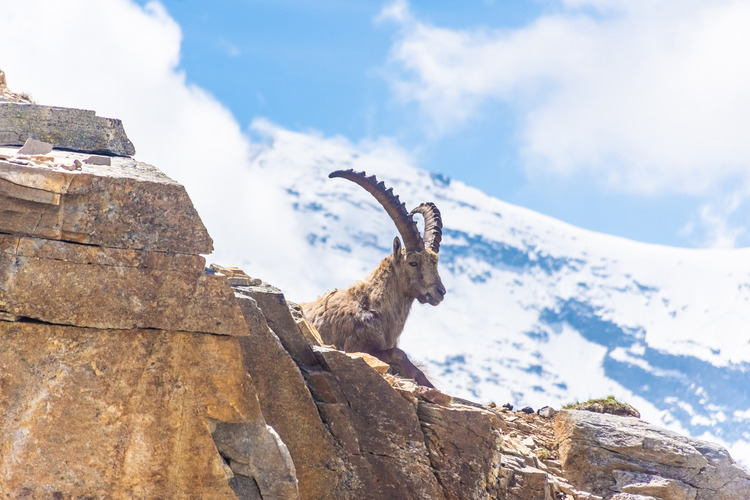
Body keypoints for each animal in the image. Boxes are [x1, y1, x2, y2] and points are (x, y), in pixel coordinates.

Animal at [301, 169, 446, 387]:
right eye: (413, 263)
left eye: (435, 263)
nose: (440, 292)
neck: (372, 305)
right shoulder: (356, 347)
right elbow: (400, 354)